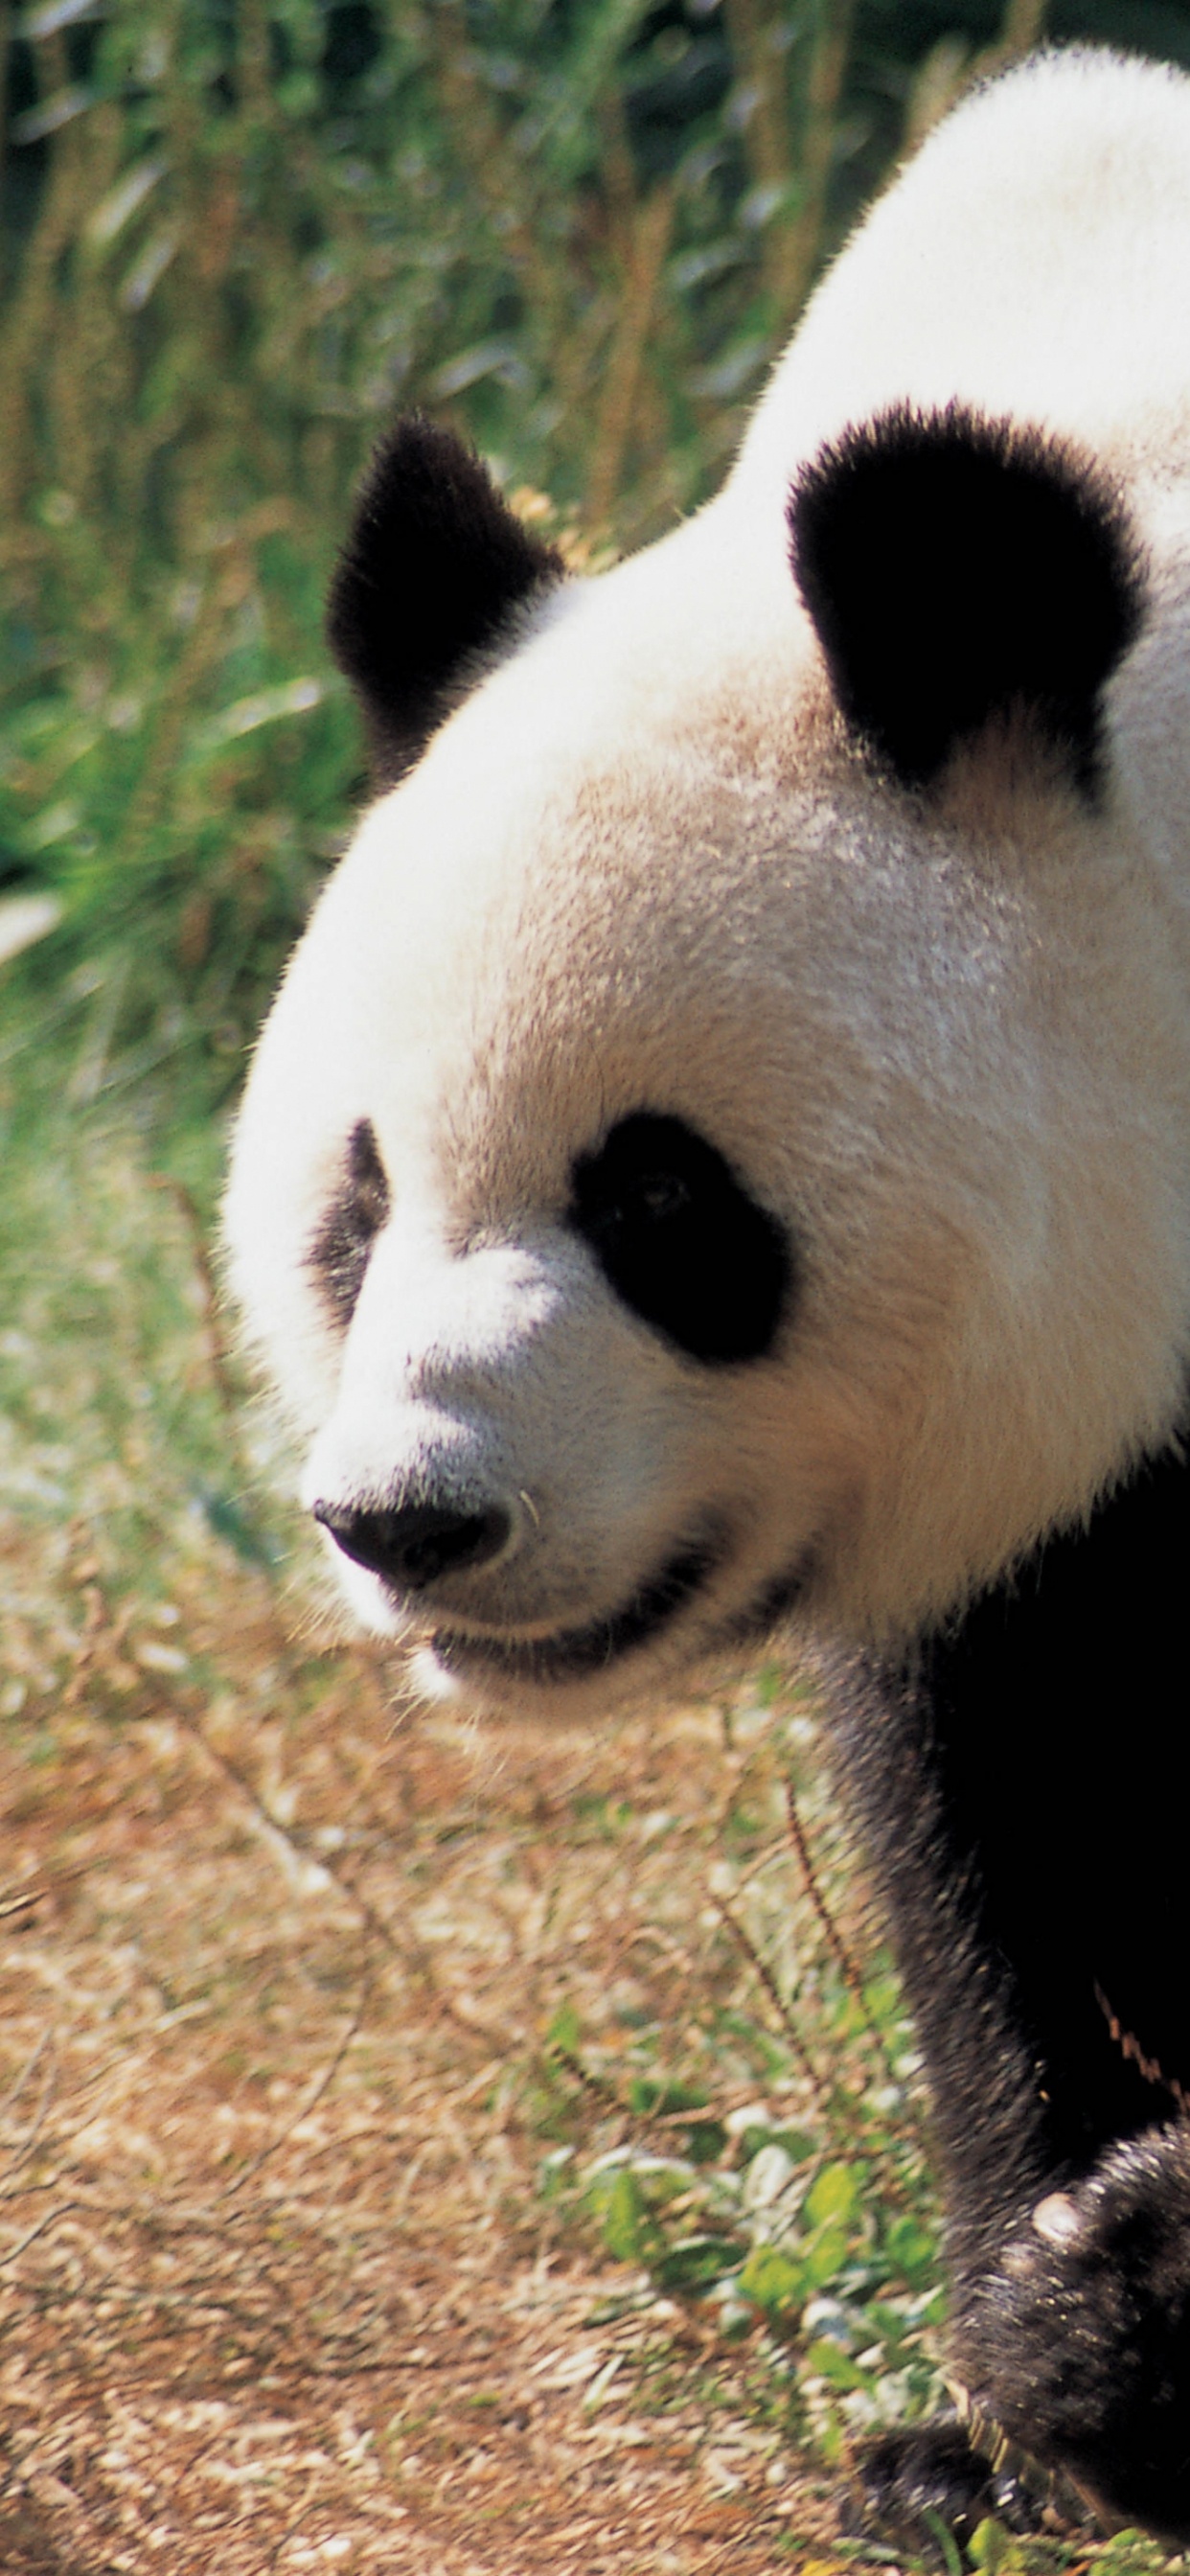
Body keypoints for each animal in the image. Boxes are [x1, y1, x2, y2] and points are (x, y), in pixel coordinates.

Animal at [225, 50, 1190, 2544]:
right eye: (359, 1199)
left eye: (663, 1199)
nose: (412, 1520)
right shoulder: (1040, 1514)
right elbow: (1001, 1816)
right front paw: (1033, 2391)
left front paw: (1139, 2304)